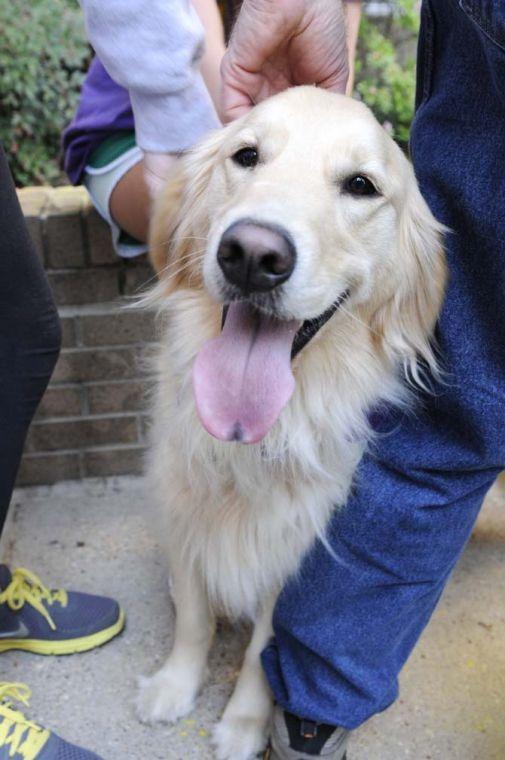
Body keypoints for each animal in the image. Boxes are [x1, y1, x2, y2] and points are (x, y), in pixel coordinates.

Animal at [137, 87, 444, 760]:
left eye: (361, 185)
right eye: (246, 155)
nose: (253, 254)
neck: (252, 440)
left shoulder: (295, 549)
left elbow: (261, 651)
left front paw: (245, 725)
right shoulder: (180, 507)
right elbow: (194, 615)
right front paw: (173, 686)